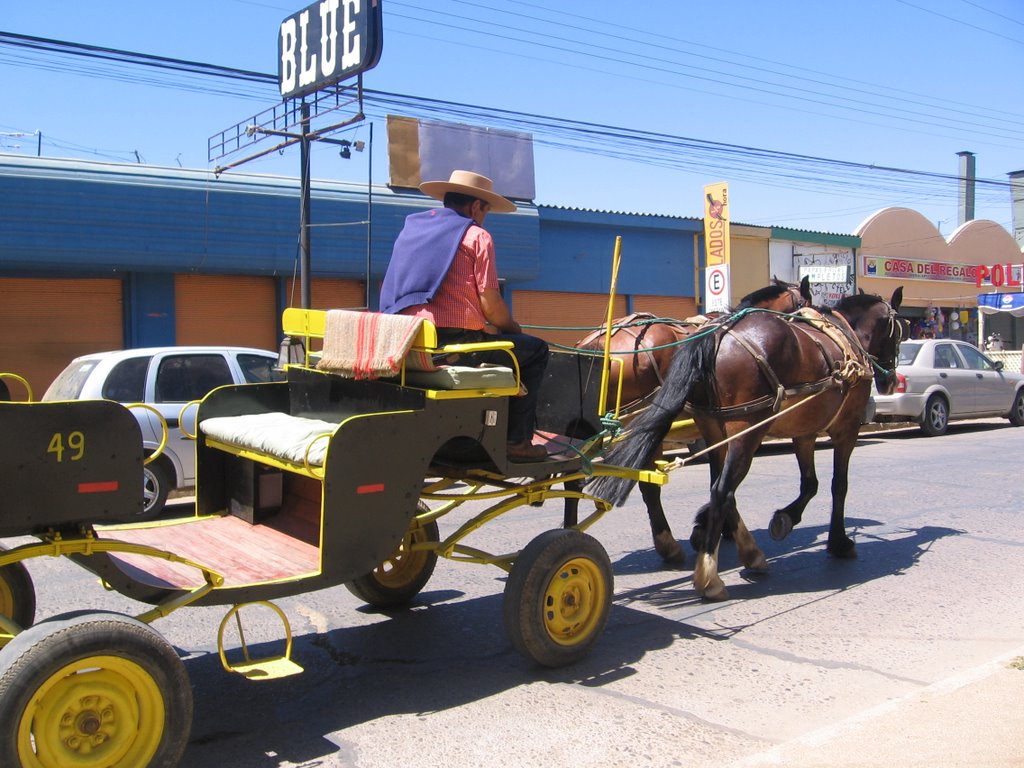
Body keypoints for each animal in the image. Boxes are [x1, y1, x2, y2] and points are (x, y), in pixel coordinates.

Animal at [593, 288, 905, 602]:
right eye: (900, 331)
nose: (890, 381)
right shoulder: (846, 428)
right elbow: (837, 485)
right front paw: (839, 542)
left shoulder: (799, 430)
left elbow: (809, 483)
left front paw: (718, 528)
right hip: (743, 429)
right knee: (710, 489)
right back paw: (708, 573)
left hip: (709, 426)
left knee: (694, 487)